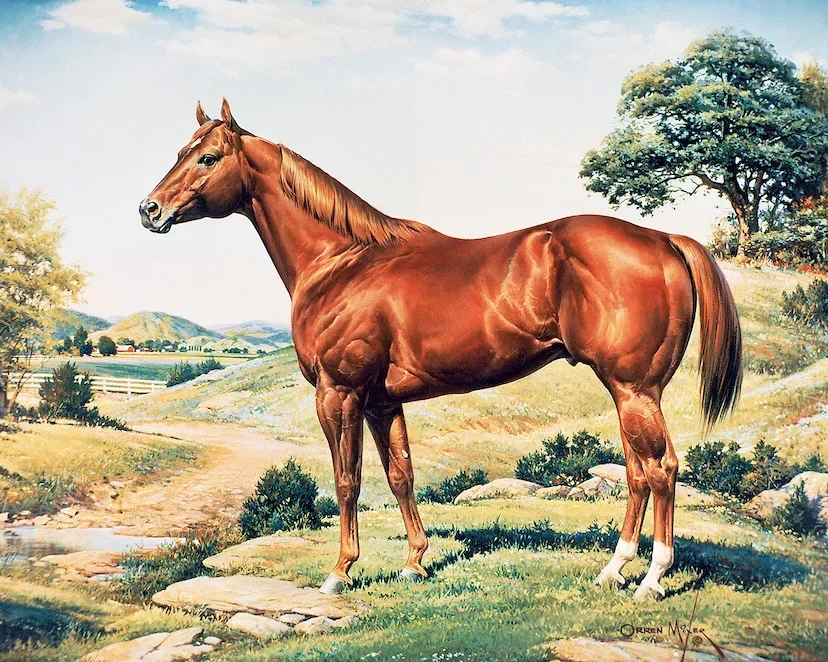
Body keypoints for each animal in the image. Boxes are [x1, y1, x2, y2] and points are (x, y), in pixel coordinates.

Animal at [140, 100, 742, 600]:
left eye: (208, 158)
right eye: (180, 153)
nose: (149, 210)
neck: (342, 262)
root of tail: (663, 240)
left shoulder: (339, 394)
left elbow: (347, 481)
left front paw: (340, 572)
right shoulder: (382, 401)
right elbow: (401, 477)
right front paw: (415, 563)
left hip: (634, 389)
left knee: (661, 469)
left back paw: (652, 578)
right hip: (628, 393)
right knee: (638, 472)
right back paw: (613, 570)